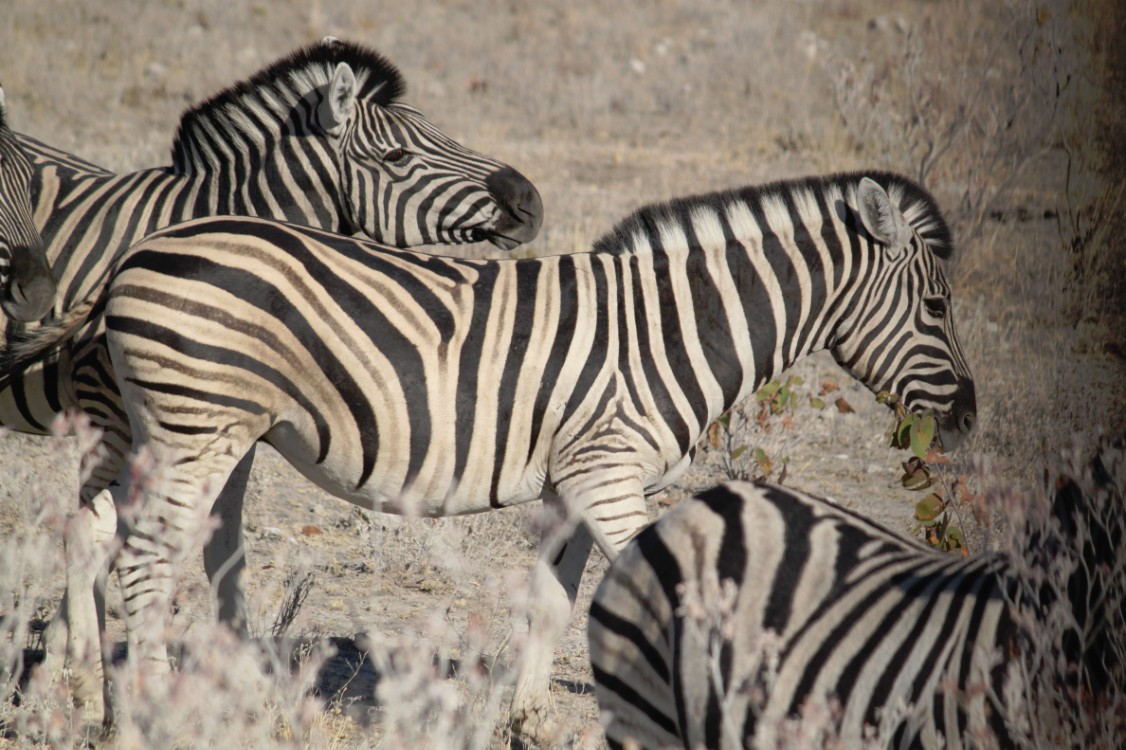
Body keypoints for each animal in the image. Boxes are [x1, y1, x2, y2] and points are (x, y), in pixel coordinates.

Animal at [2, 36, 542, 720]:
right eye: (397, 155)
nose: (530, 201)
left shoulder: (228, 423)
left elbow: (220, 546)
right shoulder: (119, 411)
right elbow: (97, 531)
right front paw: (76, 680)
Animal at [10, 167, 977, 734]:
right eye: (936, 308)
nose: (969, 421)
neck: (667, 331)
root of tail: (137, 253)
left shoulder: (574, 478)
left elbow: (551, 601)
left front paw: (524, 721)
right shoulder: (609, 471)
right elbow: (685, 598)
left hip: (184, 432)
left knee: (112, 536)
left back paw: (95, 697)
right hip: (196, 430)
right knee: (143, 558)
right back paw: (145, 713)